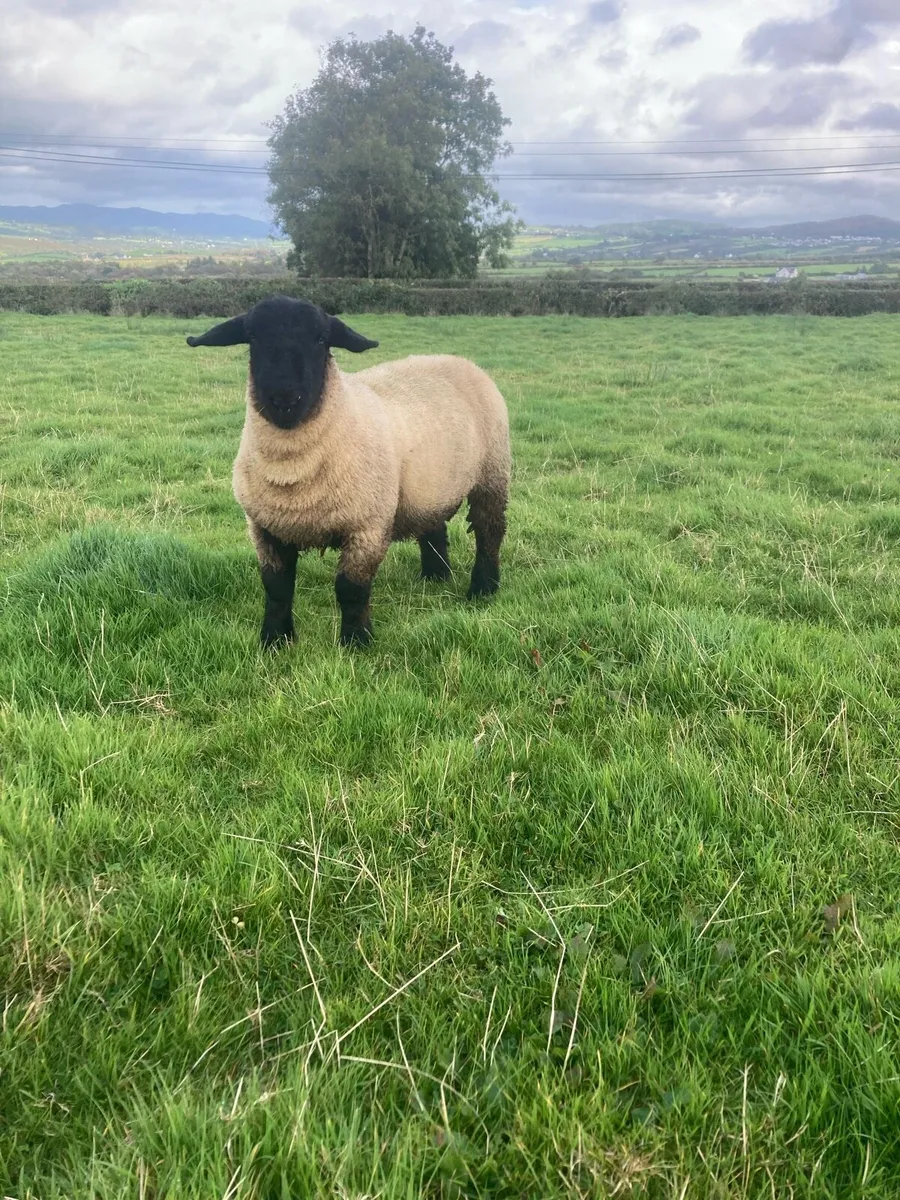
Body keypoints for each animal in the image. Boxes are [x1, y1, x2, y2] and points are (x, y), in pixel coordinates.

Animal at [186, 295, 510, 648]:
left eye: (321, 339)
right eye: (253, 337)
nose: (285, 398)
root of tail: (458, 359)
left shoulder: (366, 525)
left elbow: (351, 589)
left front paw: (356, 641)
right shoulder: (265, 527)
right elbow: (276, 588)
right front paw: (275, 640)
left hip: (492, 473)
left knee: (489, 531)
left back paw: (483, 588)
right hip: (427, 484)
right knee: (433, 525)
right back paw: (435, 577)